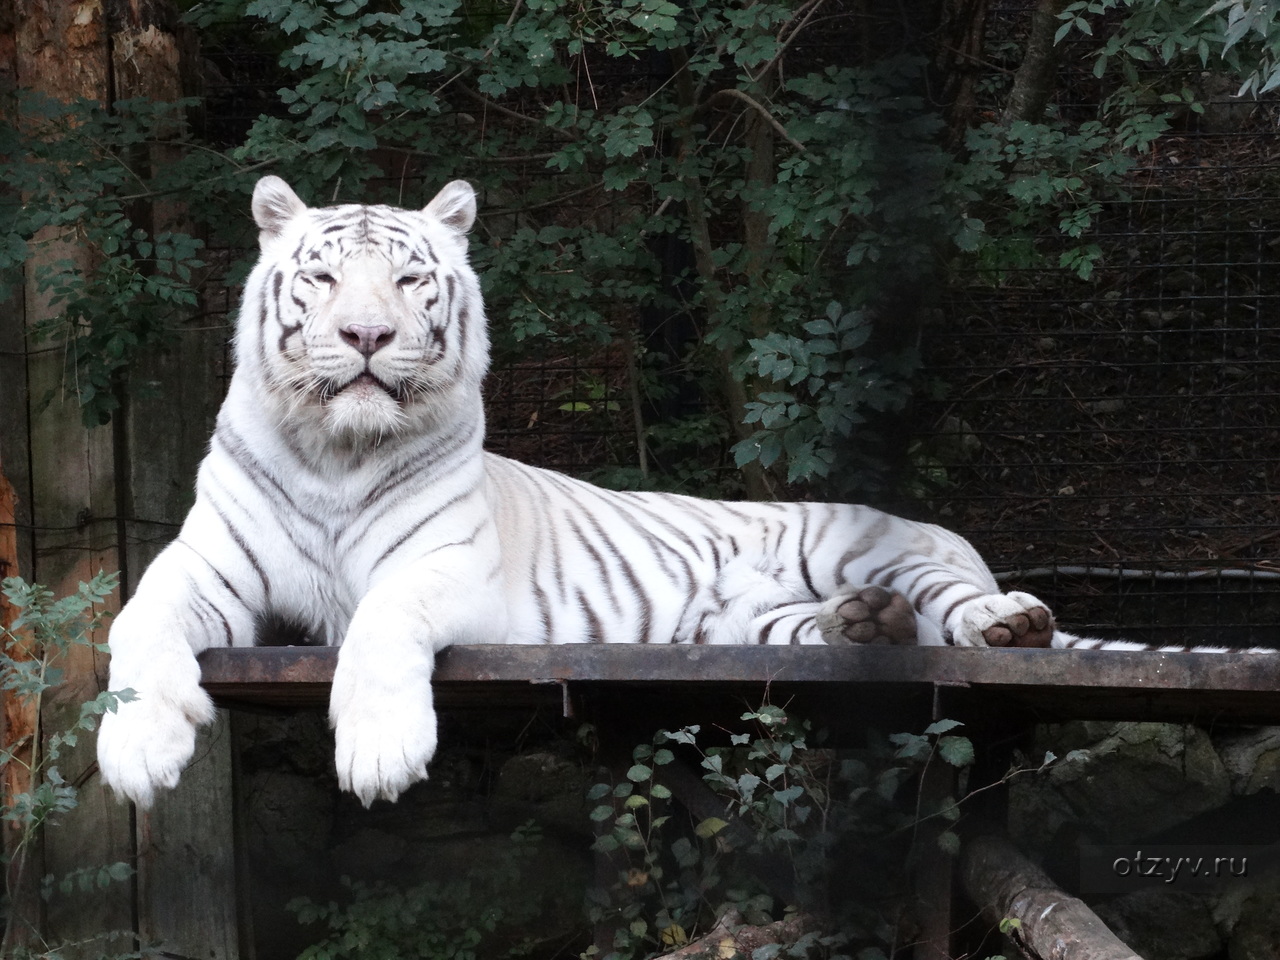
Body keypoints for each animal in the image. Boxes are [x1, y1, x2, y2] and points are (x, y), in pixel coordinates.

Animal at [94, 176, 1157, 808]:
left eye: (408, 280)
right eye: (320, 278)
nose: (364, 336)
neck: (336, 454)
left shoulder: (448, 569)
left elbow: (382, 620)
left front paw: (381, 751)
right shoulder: (207, 564)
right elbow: (134, 620)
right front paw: (136, 750)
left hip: (864, 545)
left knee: (964, 605)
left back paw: (1005, 623)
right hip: (750, 624)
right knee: (866, 628)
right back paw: (868, 626)